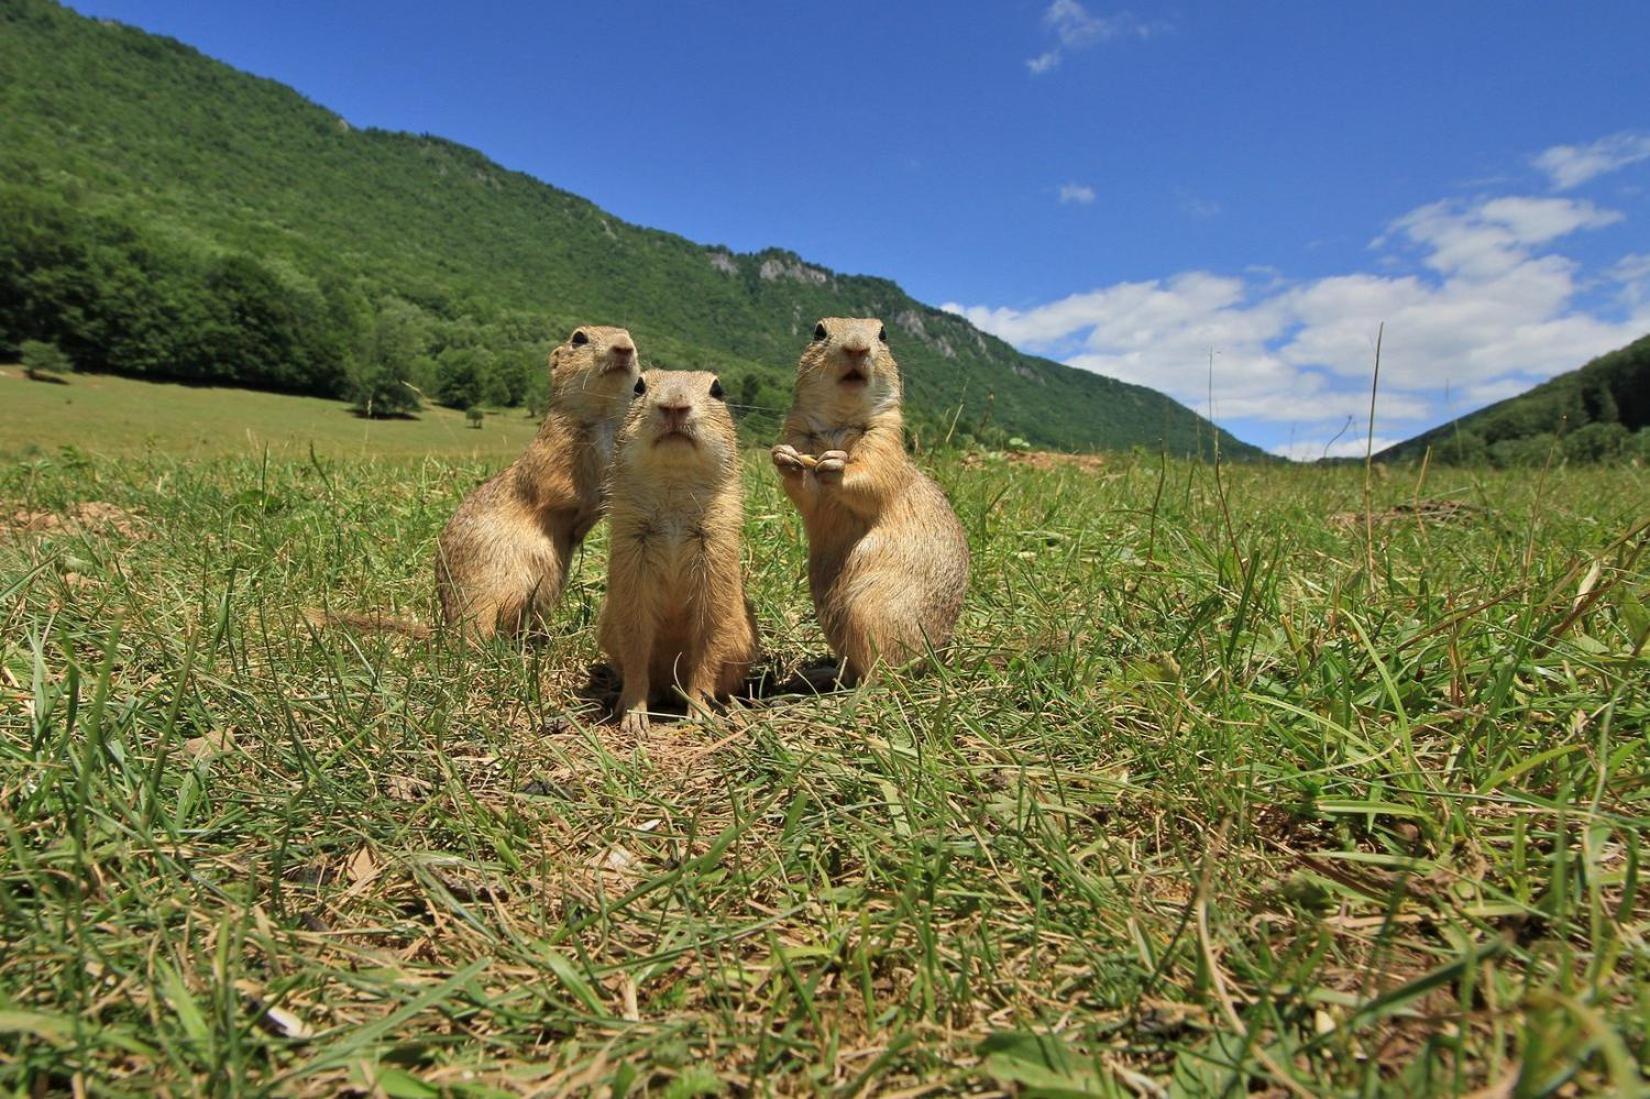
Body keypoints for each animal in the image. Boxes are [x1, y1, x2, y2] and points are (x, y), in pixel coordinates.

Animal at [435, 323, 640, 633]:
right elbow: (557, 490)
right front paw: (584, 515)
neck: (602, 418)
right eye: (579, 338)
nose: (624, 347)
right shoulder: (552, 452)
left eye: (629, 335)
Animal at [600, 369, 759, 735]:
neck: (673, 488)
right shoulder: (632, 555)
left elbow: (709, 638)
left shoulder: (714, 552)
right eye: (638, 386)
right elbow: (635, 639)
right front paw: (634, 715)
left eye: (718, 389)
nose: (673, 405)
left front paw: (699, 711)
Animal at [768, 311, 963, 679]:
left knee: (883, 672)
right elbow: (805, 493)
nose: (857, 347)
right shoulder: (799, 431)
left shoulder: (884, 442)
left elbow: (872, 477)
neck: (840, 423)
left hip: (870, 611)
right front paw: (786, 459)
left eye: (883, 333)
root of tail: (933, 663)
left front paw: (836, 465)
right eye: (819, 331)